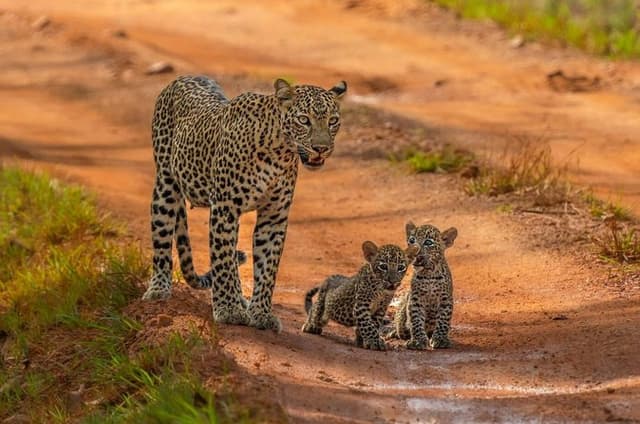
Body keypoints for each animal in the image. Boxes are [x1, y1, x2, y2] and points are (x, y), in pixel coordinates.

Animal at [142, 75, 347, 333]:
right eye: (303, 120)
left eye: (333, 121)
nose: (321, 148)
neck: (279, 152)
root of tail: (183, 78)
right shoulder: (225, 207)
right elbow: (222, 262)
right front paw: (228, 310)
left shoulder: (274, 217)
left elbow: (267, 269)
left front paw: (261, 314)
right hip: (166, 186)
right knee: (163, 243)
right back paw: (158, 290)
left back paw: (241, 299)